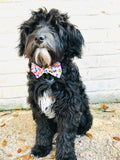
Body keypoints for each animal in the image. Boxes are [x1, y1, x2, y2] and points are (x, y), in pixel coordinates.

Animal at [17, 8, 93, 159]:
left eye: (55, 27)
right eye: (34, 27)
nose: (39, 38)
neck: (48, 73)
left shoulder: (70, 108)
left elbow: (66, 135)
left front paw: (65, 155)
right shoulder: (38, 106)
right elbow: (43, 130)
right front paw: (41, 148)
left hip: (85, 115)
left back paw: (79, 132)